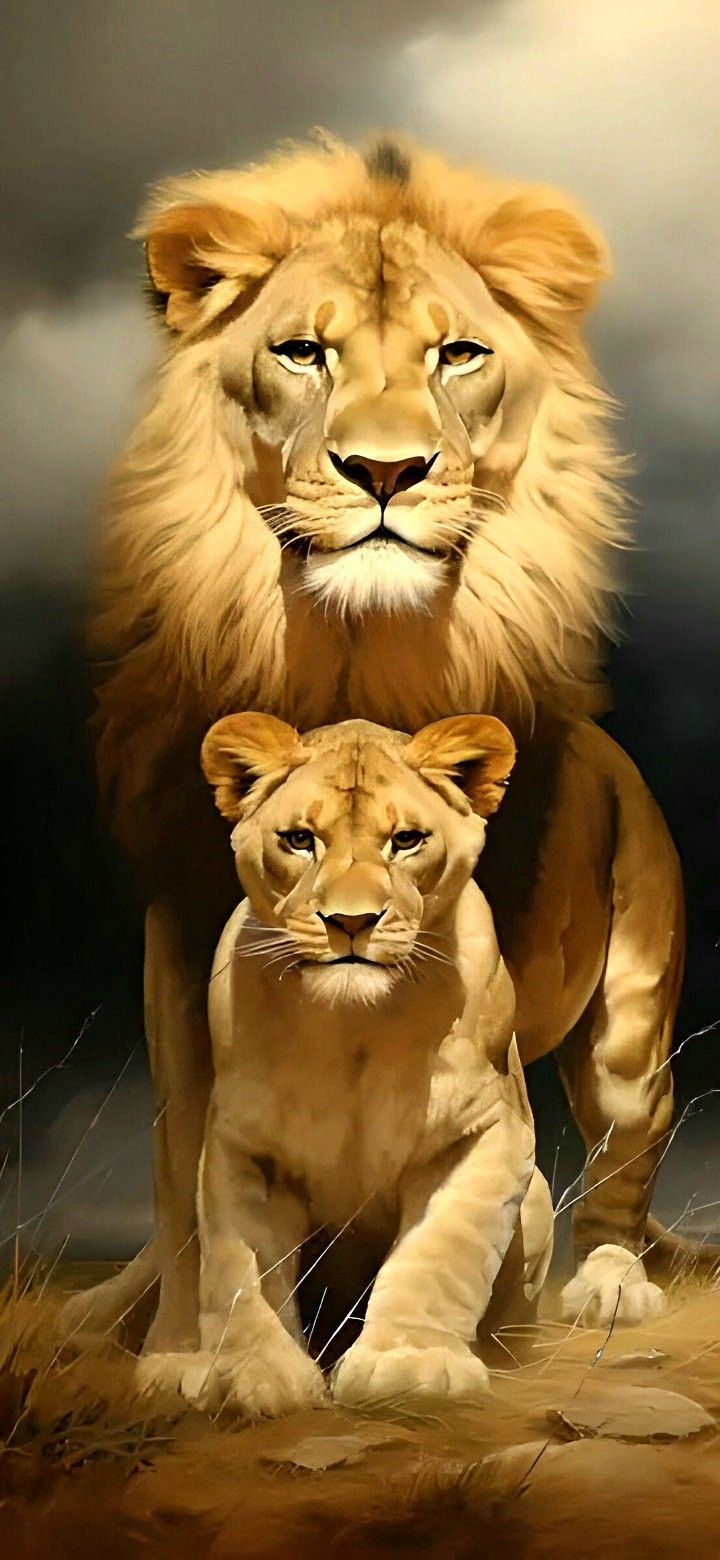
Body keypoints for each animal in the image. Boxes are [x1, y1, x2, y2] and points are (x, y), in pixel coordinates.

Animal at [136, 710, 555, 1416]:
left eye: (406, 840)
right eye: (300, 840)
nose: (350, 922)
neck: (356, 1028)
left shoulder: (484, 1129)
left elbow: (441, 1252)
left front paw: (410, 1364)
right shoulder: (243, 1144)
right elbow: (242, 1268)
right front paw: (251, 1374)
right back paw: (170, 1364)